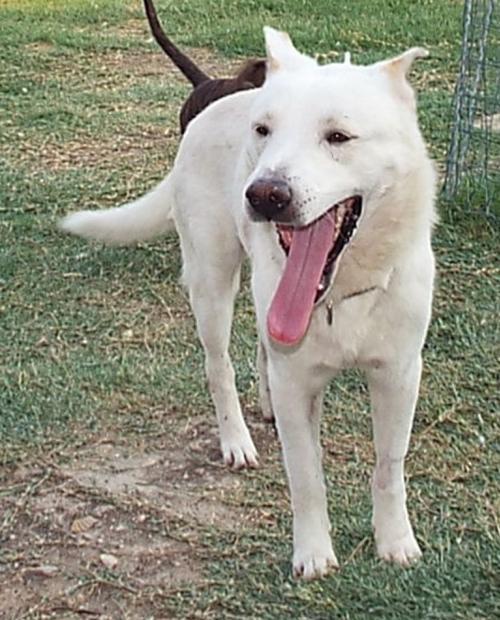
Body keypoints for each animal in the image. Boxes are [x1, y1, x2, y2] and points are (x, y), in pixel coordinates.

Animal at [61, 27, 434, 580]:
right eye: (264, 131)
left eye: (338, 137)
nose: (263, 195)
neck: (340, 294)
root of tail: (215, 100)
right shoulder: (298, 382)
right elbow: (306, 478)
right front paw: (313, 553)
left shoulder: (398, 375)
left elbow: (390, 467)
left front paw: (395, 542)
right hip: (213, 284)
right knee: (219, 367)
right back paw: (236, 438)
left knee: (262, 344)